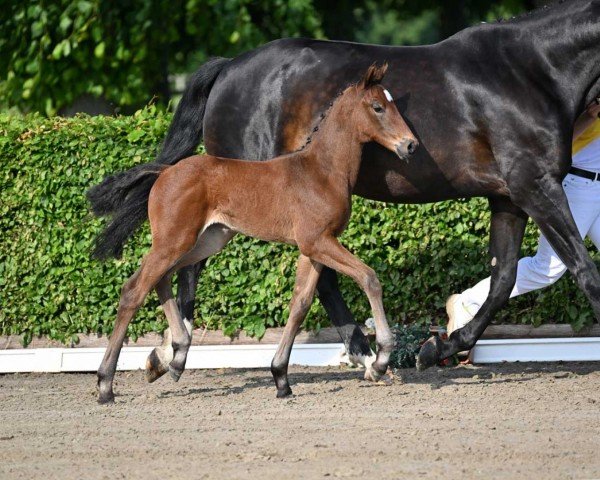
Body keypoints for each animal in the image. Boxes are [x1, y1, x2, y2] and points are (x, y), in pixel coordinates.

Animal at [95, 62, 418, 402]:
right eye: (378, 107)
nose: (410, 145)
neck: (322, 171)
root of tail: (165, 171)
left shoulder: (314, 247)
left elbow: (301, 303)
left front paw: (281, 378)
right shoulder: (317, 241)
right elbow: (369, 277)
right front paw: (381, 360)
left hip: (208, 239)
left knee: (162, 279)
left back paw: (176, 357)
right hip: (174, 240)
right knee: (134, 289)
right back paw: (106, 384)